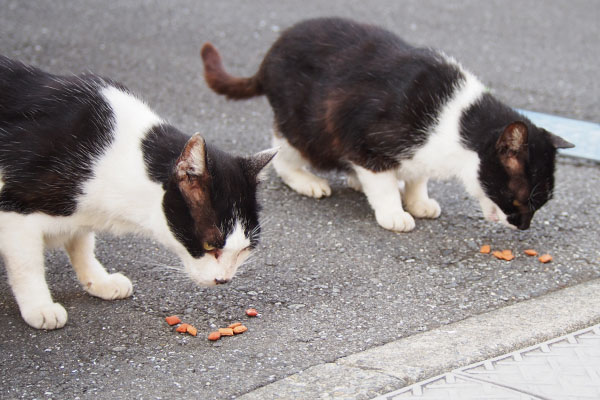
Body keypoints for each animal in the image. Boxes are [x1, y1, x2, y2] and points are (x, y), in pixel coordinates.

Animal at [0, 56, 276, 332]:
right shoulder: (14, 208)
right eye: (210, 244)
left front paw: (98, 280)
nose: (224, 280)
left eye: (245, 248)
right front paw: (39, 307)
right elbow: (27, 264)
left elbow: (82, 243)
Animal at [200, 17, 572, 233]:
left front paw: (418, 200)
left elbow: (418, 175)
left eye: (541, 203)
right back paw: (308, 181)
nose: (524, 227)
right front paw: (394, 211)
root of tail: (269, 54)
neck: (458, 123)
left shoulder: (420, 152)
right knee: (285, 152)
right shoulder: (366, 139)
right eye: (521, 200)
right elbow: (380, 180)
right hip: (305, 126)